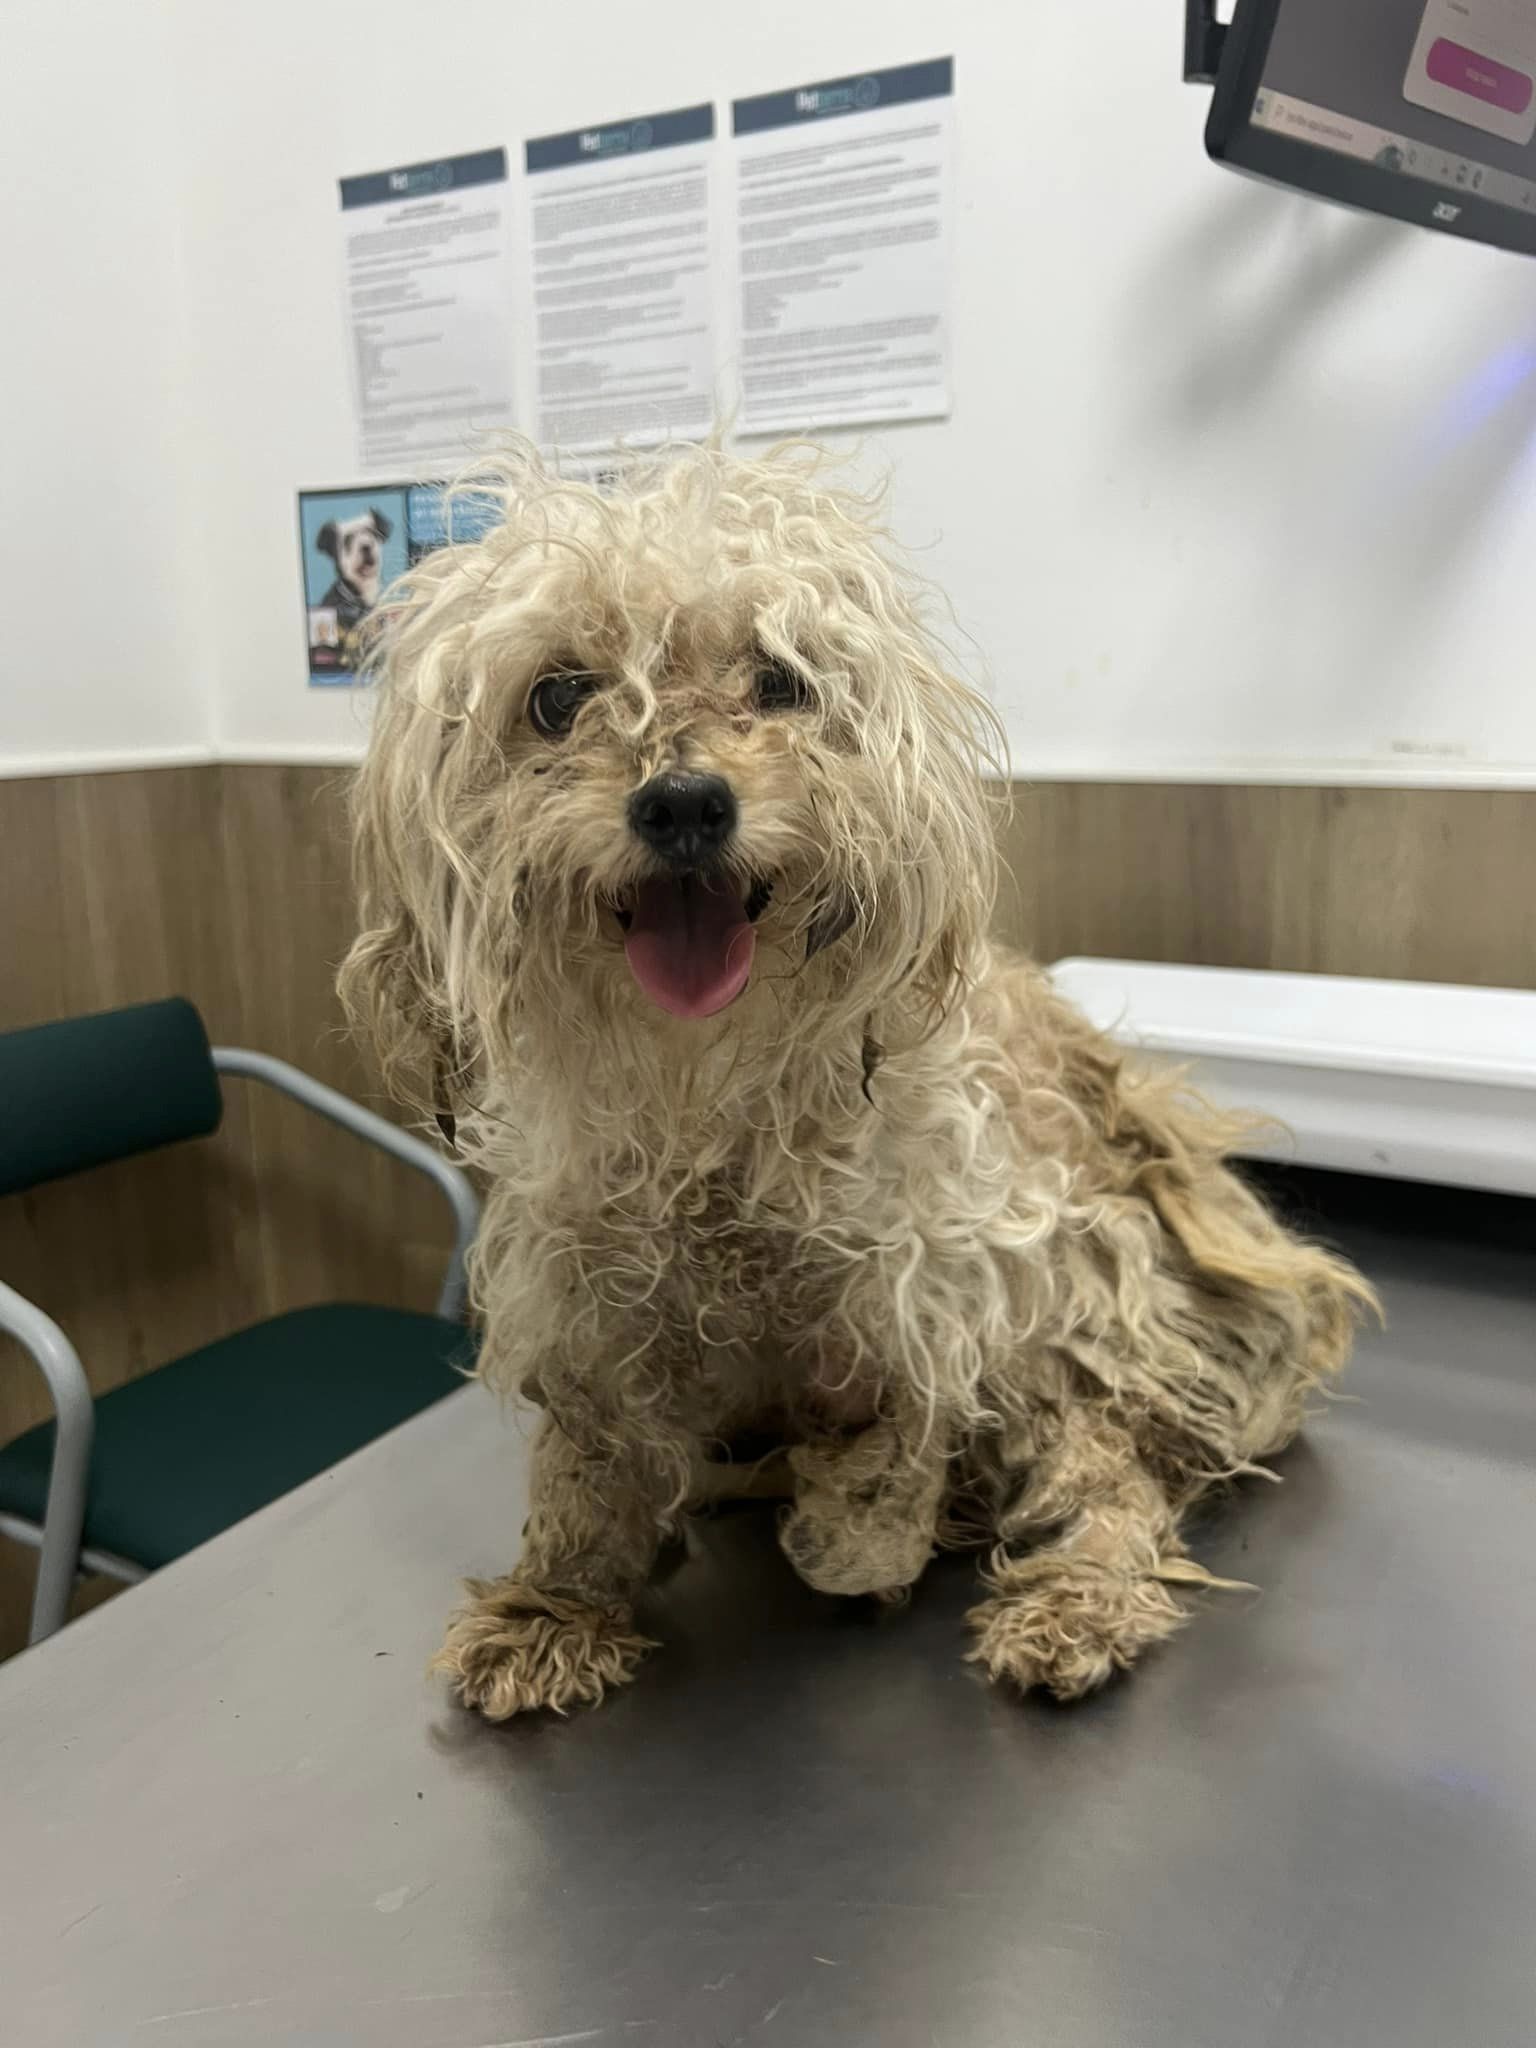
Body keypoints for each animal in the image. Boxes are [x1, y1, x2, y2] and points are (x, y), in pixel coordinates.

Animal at [342, 440, 1376, 1720]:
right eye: (558, 695)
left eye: (779, 679)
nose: (683, 800)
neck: (711, 1115)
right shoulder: (592, 1306)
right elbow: (590, 1469)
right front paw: (554, 1605)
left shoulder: (944, 1284)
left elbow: (895, 1456)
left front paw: (857, 1535)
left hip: (1093, 1291)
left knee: (1109, 1468)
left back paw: (1069, 1593)